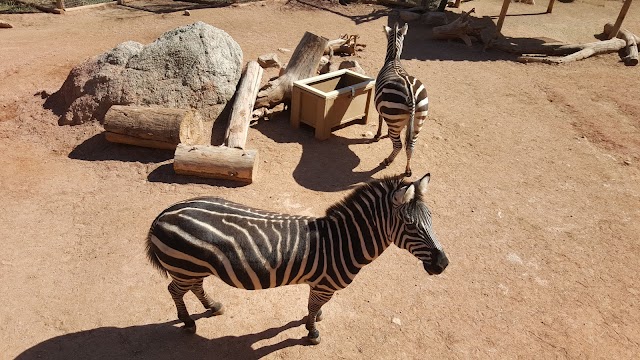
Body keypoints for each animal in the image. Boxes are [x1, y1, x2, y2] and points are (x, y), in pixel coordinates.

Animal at [147, 173, 448, 344]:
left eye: (431, 219)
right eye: (410, 225)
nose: (443, 264)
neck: (343, 241)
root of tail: (164, 213)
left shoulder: (320, 286)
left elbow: (315, 307)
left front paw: (315, 320)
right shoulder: (324, 284)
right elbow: (312, 307)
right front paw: (312, 333)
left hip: (194, 268)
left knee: (194, 287)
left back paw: (212, 306)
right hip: (184, 266)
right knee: (174, 290)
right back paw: (188, 322)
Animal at [376, 22, 430, 177]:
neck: (393, 58)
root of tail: (411, 91)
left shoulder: (380, 107)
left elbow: (380, 120)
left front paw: (378, 135)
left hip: (393, 116)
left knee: (398, 145)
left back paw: (388, 160)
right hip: (419, 119)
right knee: (410, 145)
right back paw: (407, 170)